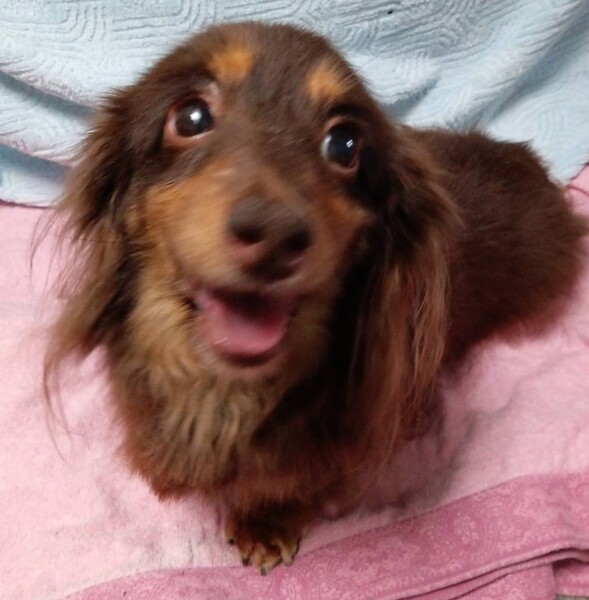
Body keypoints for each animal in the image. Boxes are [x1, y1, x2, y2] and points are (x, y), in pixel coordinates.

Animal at [46, 22, 587, 573]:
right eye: (190, 117)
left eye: (345, 144)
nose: (274, 234)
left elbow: (293, 482)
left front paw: (266, 522)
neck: (228, 389)